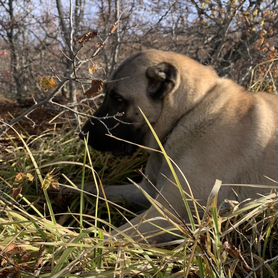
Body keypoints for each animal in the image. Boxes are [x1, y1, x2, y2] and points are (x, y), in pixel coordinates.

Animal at [80, 50, 278, 243]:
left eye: (118, 98)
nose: (82, 134)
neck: (189, 111)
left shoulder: (166, 215)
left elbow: (102, 240)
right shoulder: (146, 191)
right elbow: (96, 187)